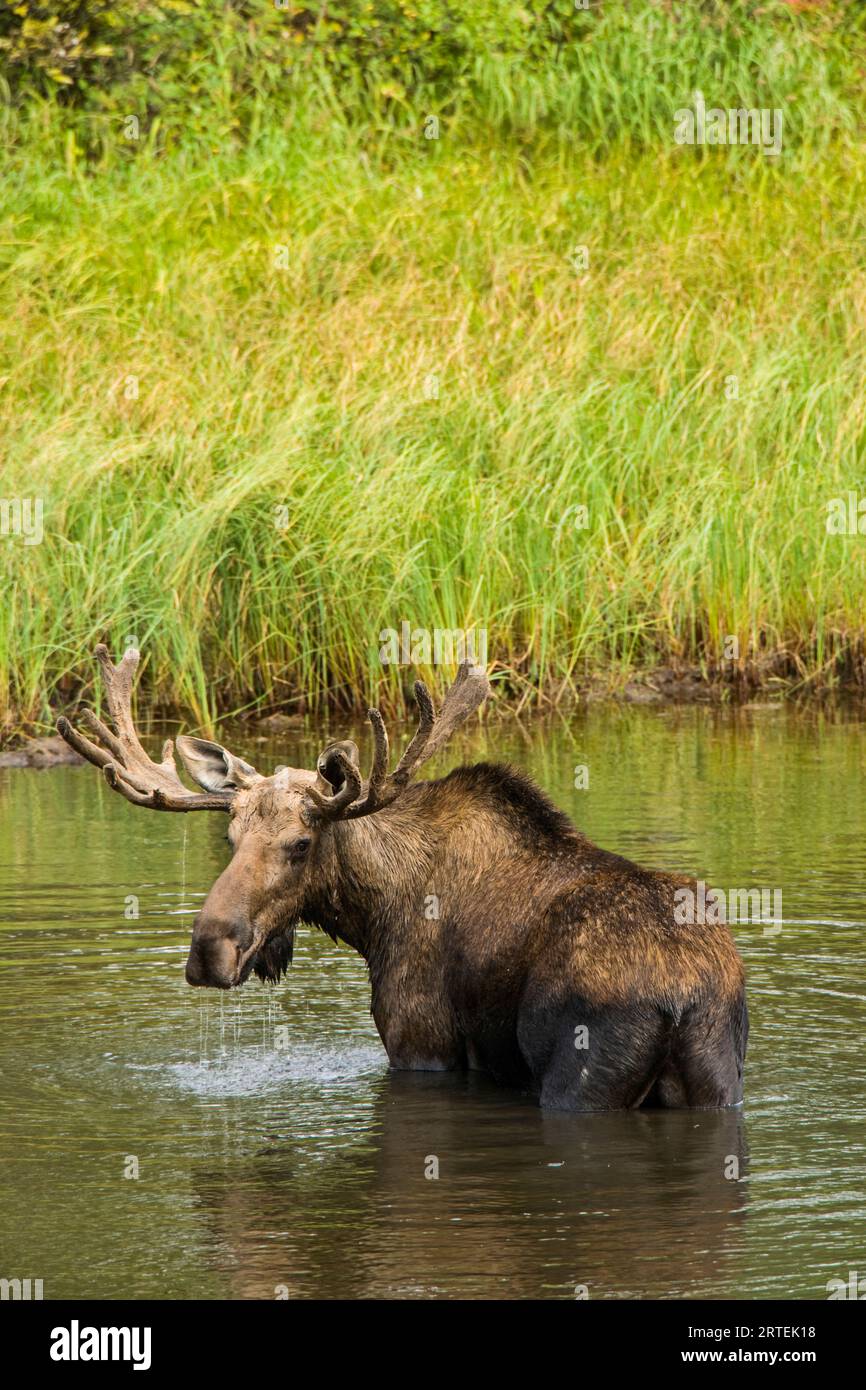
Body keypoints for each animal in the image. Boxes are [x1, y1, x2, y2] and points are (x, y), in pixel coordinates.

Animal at [57, 644, 750, 1112]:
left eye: (301, 844)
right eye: (230, 839)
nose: (209, 949)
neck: (370, 917)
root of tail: (681, 999)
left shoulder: (420, 1043)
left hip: (579, 1081)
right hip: (719, 1079)